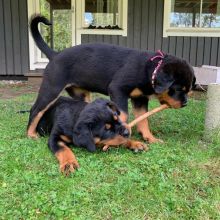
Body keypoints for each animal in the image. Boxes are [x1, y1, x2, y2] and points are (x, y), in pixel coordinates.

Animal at [27, 15, 196, 143]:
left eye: (188, 90)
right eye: (178, 89)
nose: (185, 103)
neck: (149, 70)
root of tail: (55, 55)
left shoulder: (140, 99)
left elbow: (143, 120)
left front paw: (150, 138)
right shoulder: (117, 89)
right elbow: (124, 115)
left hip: (80, 95)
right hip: (52, 88)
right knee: (36, 110)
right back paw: (31, 134)